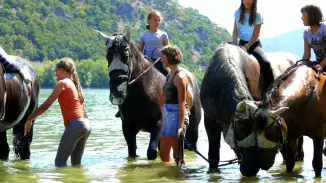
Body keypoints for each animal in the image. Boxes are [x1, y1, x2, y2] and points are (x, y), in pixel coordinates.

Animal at [95, 28, 201, 160]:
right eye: (108, 57)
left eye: (126, 55)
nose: (116, 93)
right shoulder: (127, 127)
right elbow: (132, 152)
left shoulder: (159, 124)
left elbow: (151, 153)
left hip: (193, 128)